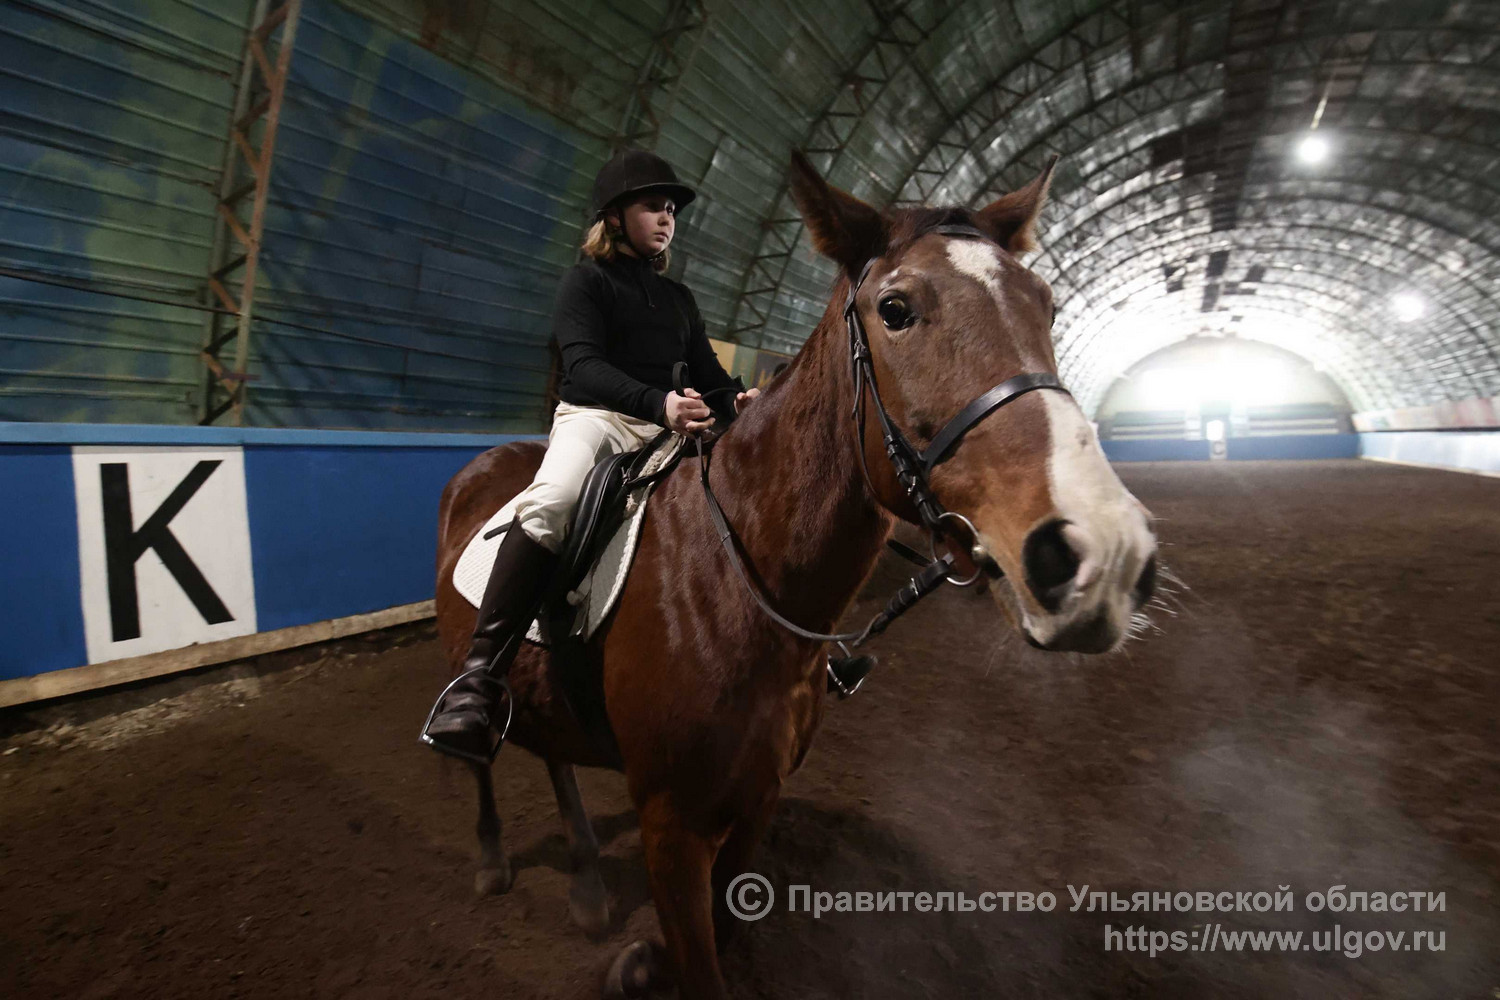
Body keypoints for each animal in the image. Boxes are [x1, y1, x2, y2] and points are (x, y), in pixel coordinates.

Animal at [435, 152, 1158, 995]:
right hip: (469, 657)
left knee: (551, 749)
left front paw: (642, 960)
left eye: (1044, 304)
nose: (1103, 552)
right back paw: (491, 851)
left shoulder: (757, 799)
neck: (737, 583)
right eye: (896, 309)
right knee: (484, 742)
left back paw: (586, 885)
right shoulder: (671, 824)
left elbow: (722, 926)